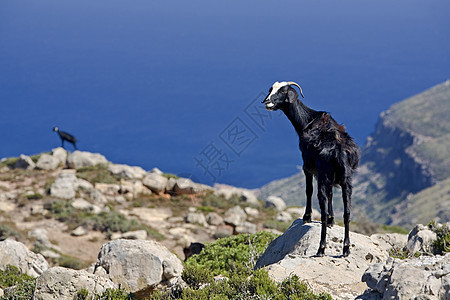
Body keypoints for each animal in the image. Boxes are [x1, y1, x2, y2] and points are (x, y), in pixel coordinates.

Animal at [262, 82, 360, 258]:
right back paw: (346, 249)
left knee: (322, 210)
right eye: (271, 89)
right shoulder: (330, 178)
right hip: (346, 180)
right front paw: (332, 221)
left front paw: (306, 217)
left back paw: (321, 248)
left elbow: (308, 190)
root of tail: (339, 151)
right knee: (347, 212)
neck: (308, 120)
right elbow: (331, 195)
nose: (267, 102)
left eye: (283, 91)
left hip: (323, 175)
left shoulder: (307, 165)